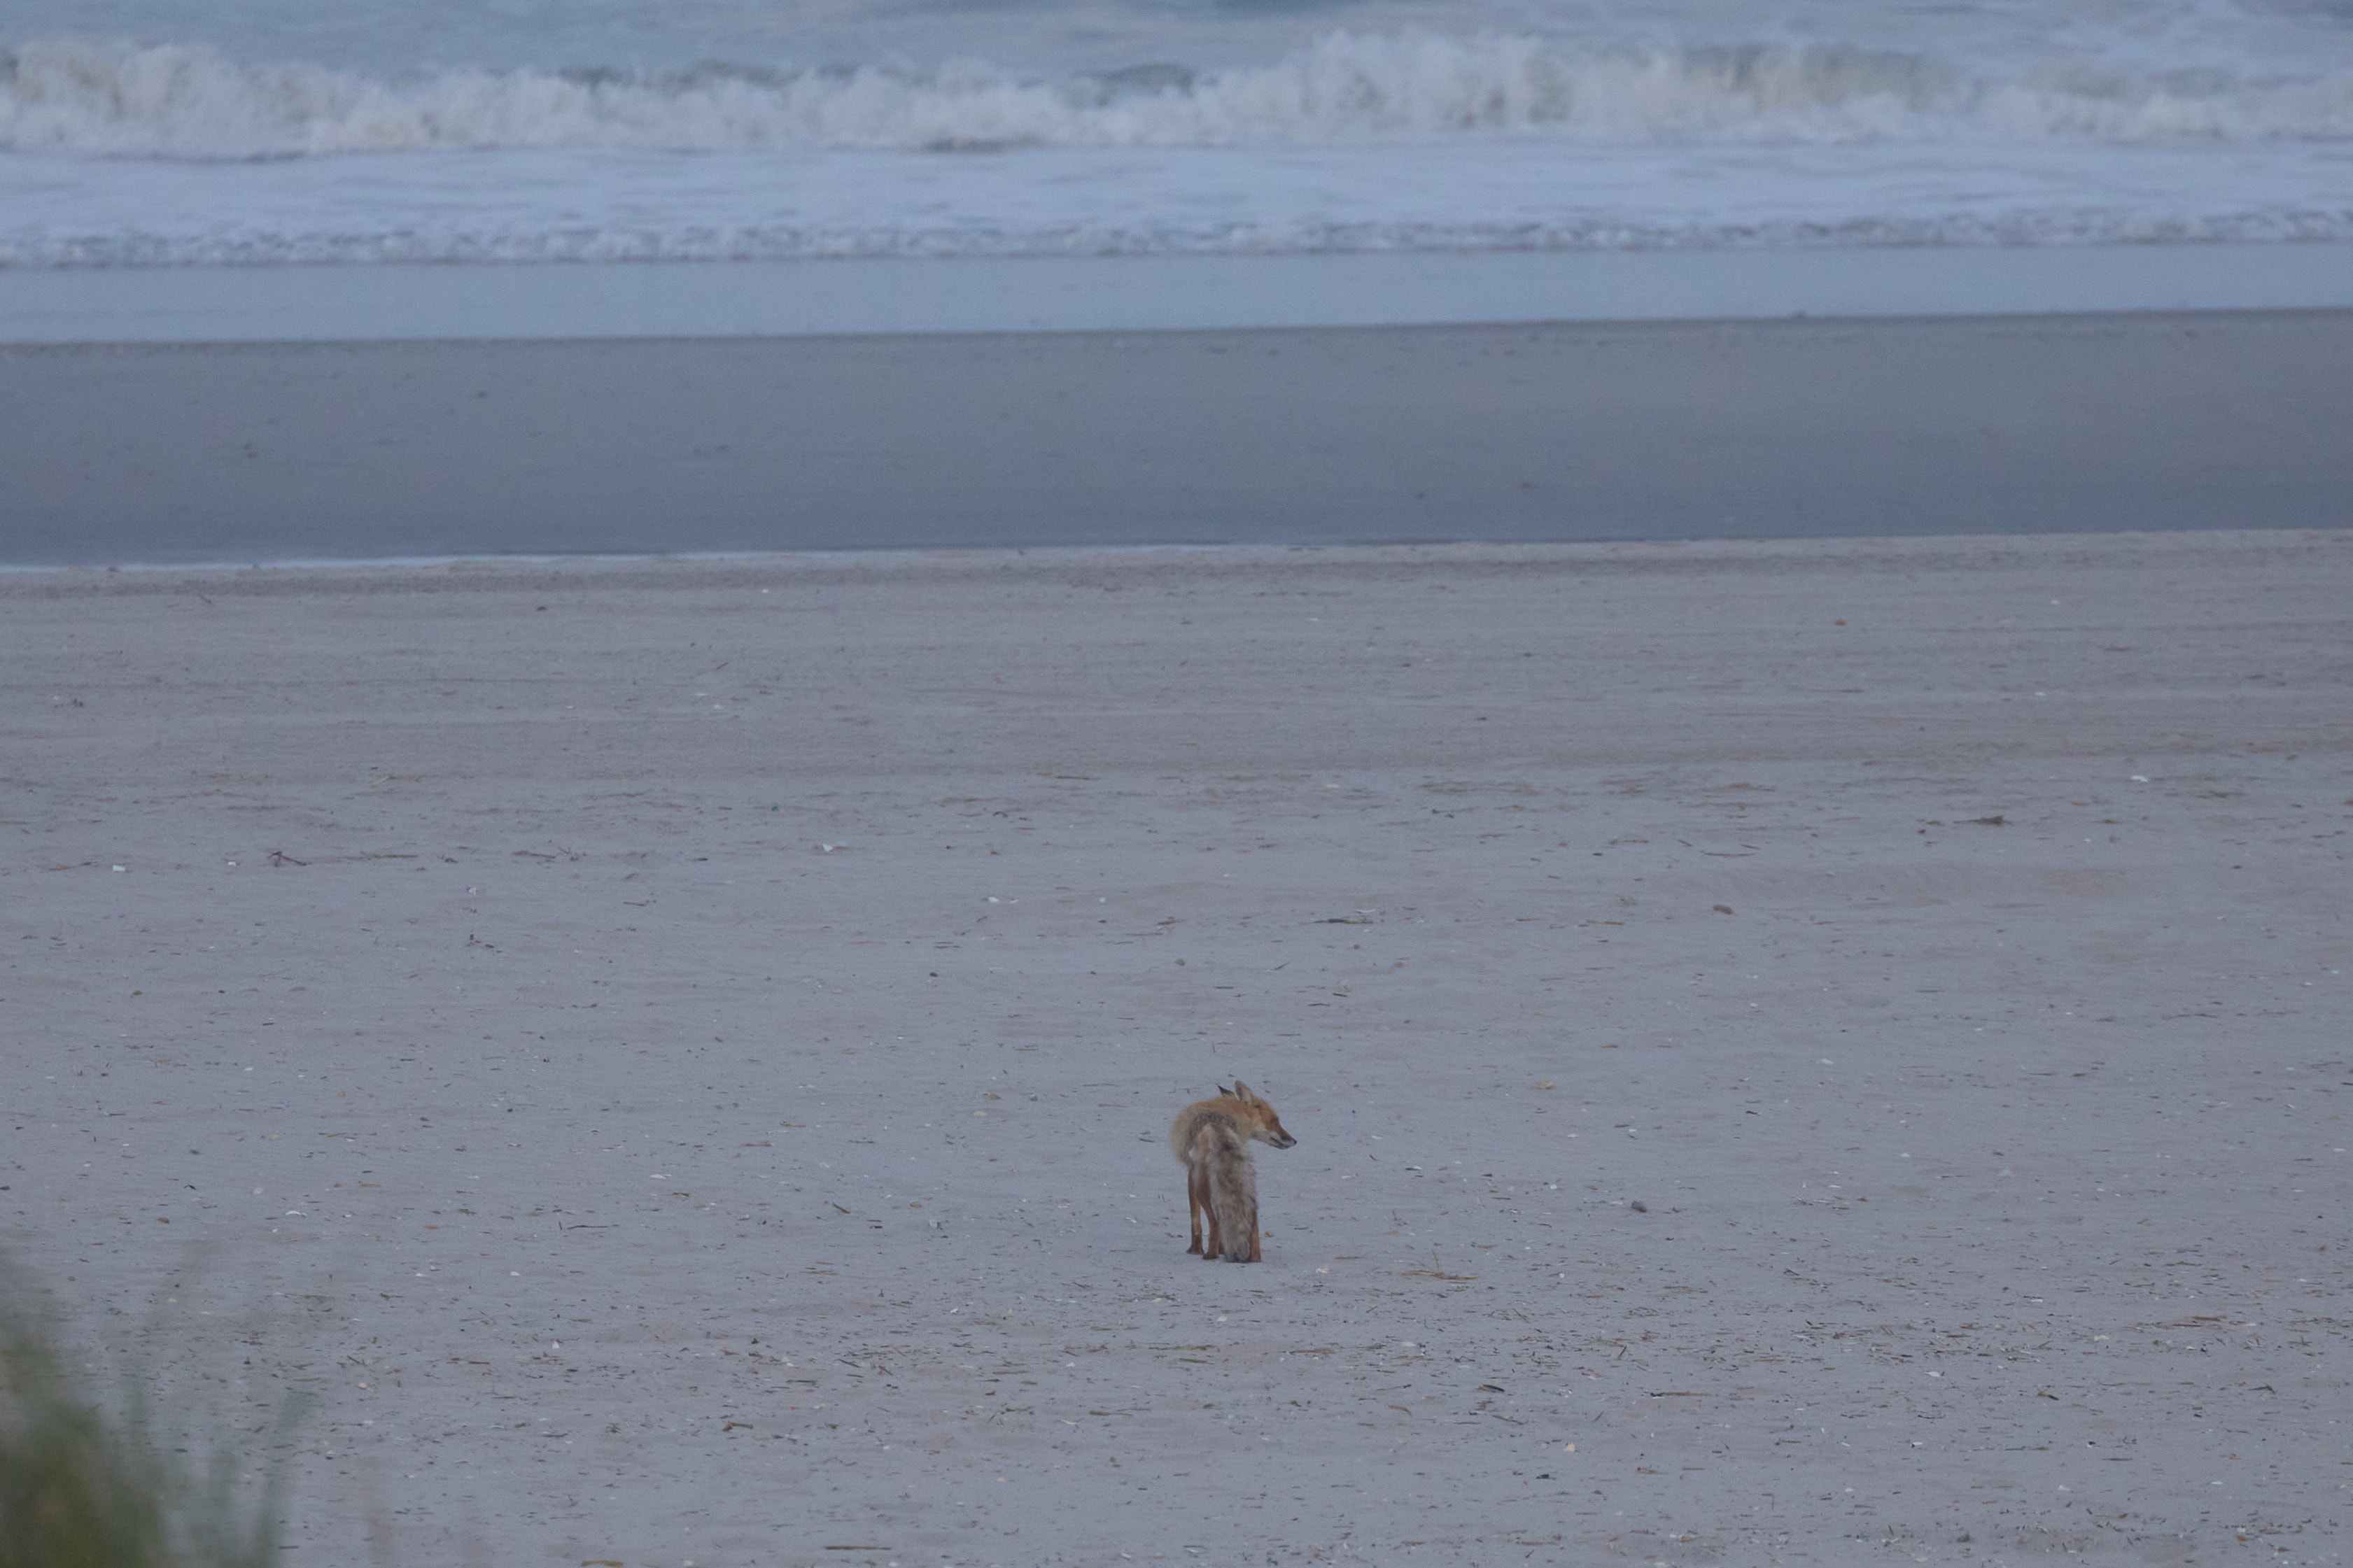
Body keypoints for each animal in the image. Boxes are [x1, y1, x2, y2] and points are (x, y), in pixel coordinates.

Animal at [1169, 1081, 1297, 1263]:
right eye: (1275, 1120)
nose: (1294, 1141)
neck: (1229, 1110)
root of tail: (1217, 1124)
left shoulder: (1191, 1172)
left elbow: (1195, 1219)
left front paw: (1195, 1250)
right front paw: (1222, 1248)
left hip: (1203, 1183)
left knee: (1215, 1222)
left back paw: (1211, 1255)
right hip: (1248, 1184)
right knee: (1253, 1224)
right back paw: (1254, 1259)